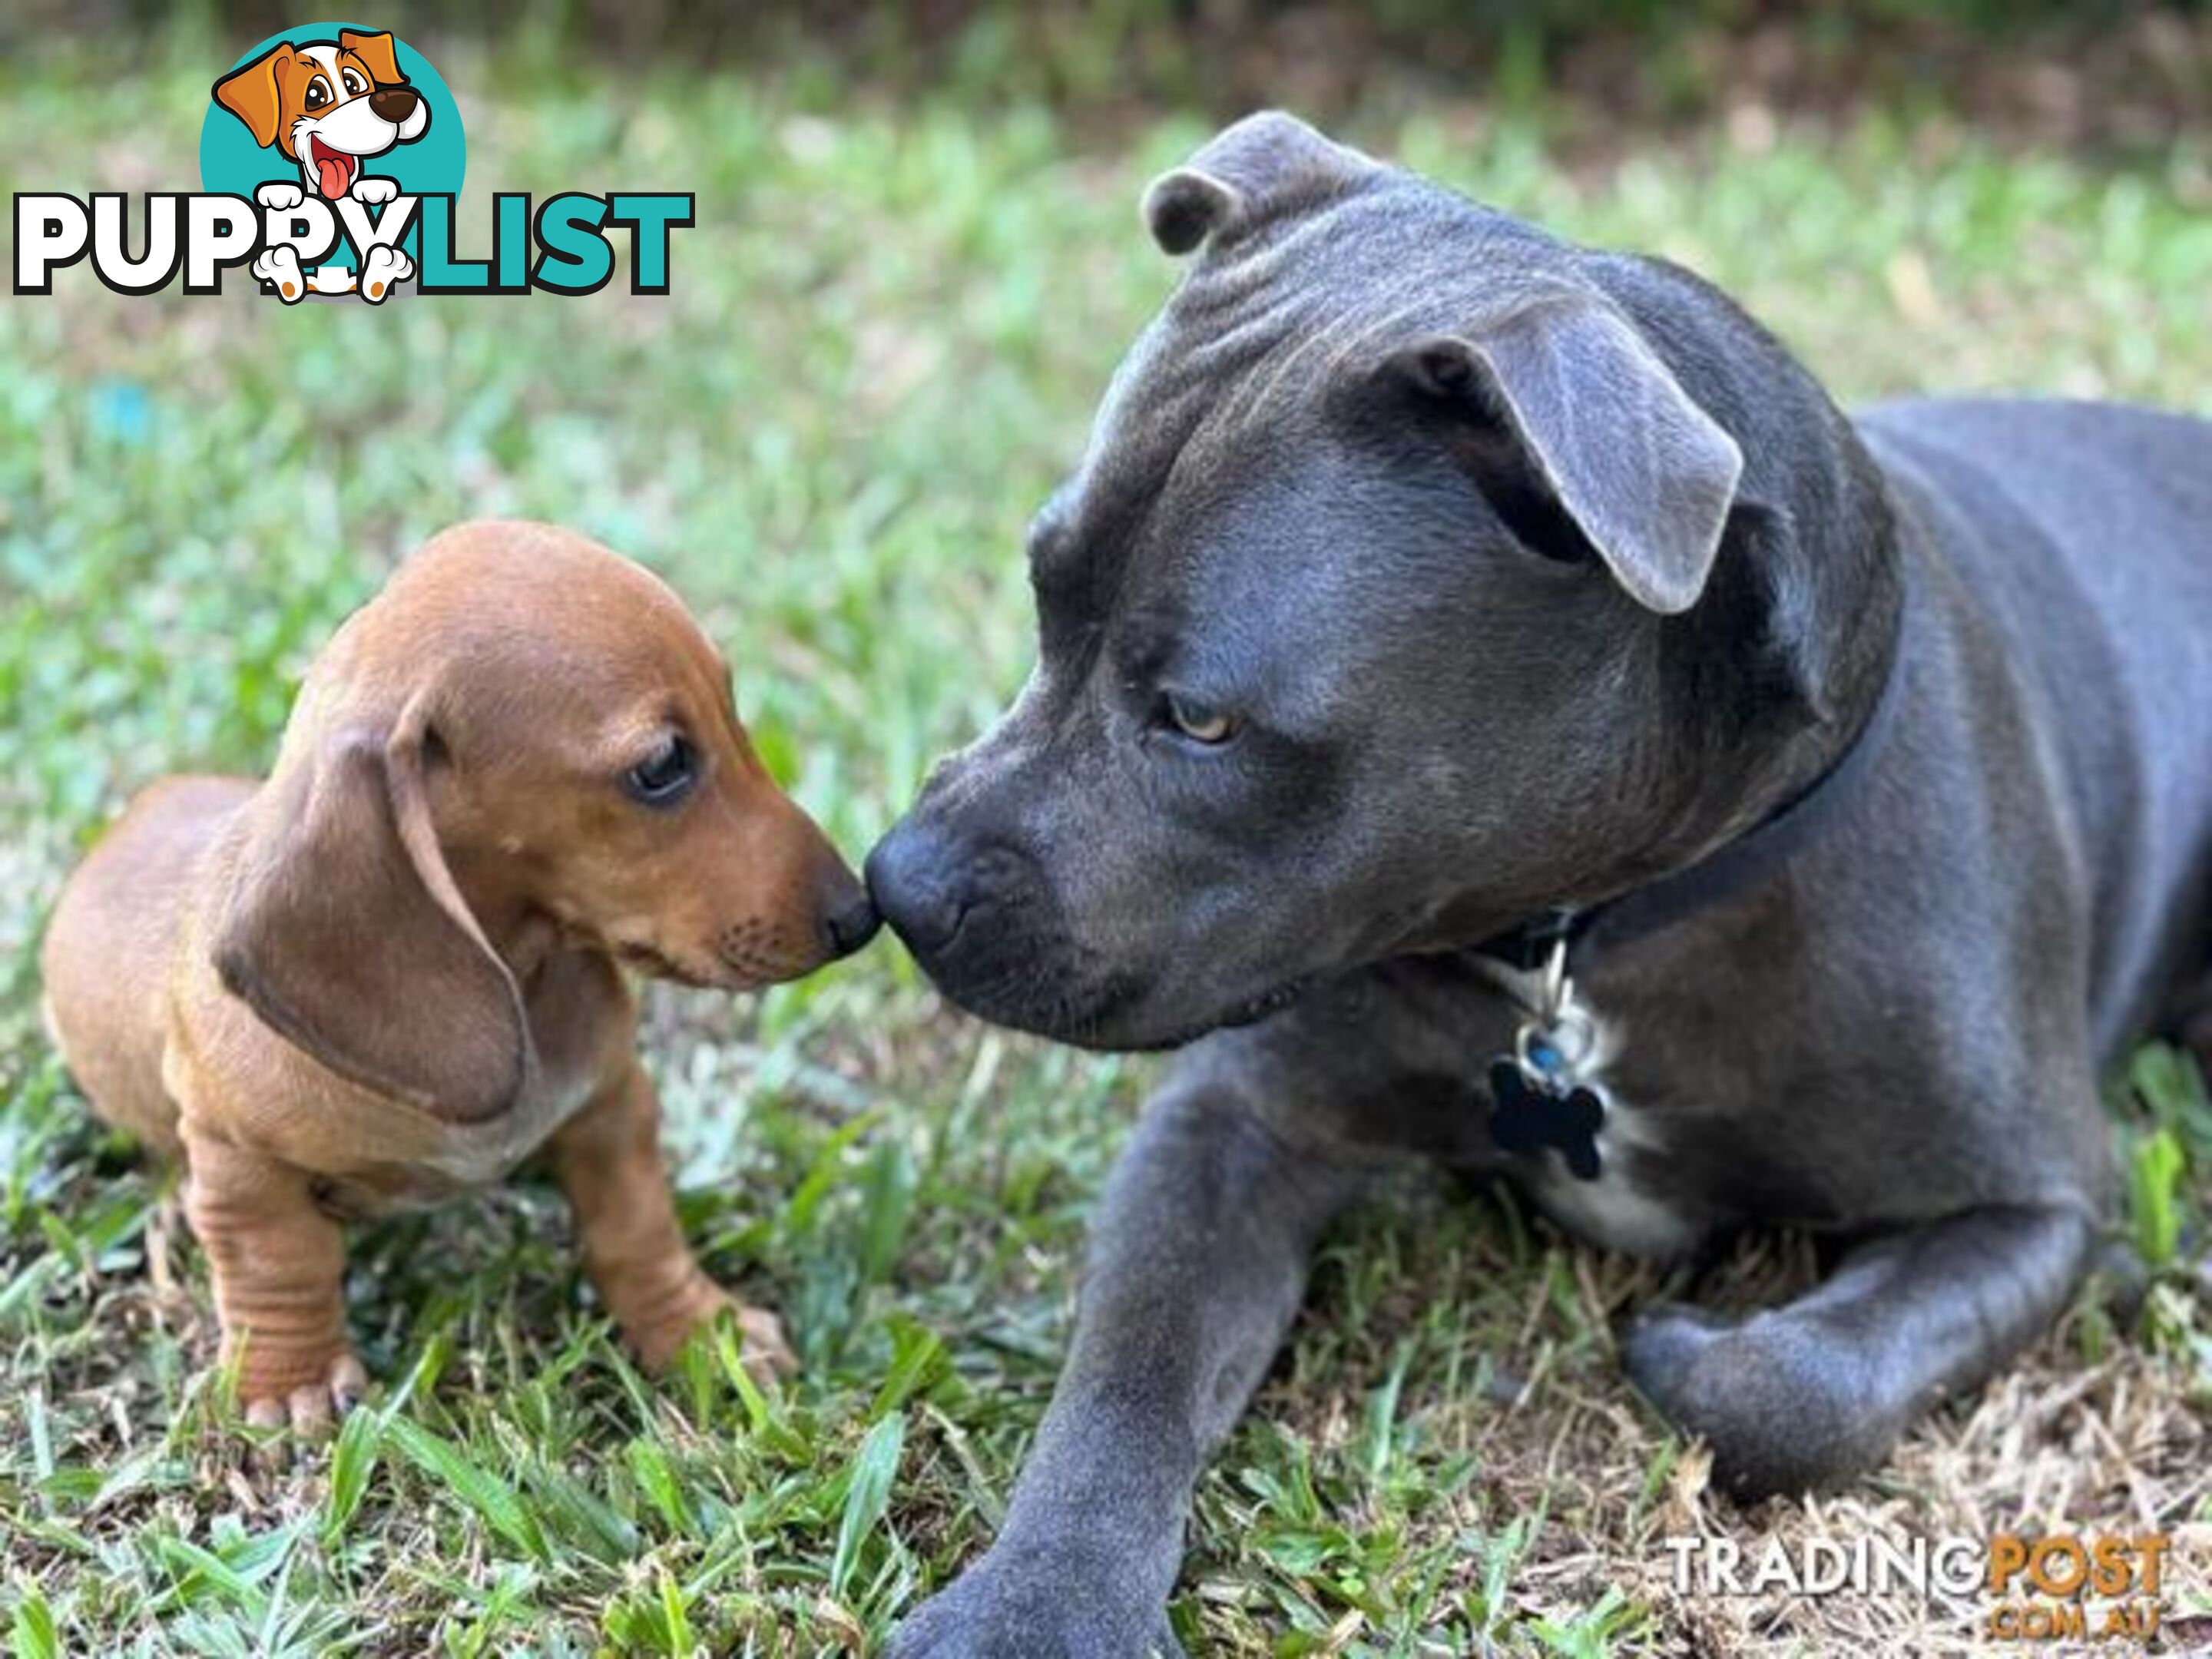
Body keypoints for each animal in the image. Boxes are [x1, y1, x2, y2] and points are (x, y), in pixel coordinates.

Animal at [43, 519, 871, 1433]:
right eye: (662, 765)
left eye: (733, 706)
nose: (861, 913)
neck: (516, 973)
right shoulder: (237, 1163)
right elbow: (278, 1263)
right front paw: (291, 1379)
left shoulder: (613, 1105)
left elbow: (638, 1228)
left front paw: (696, 1329)